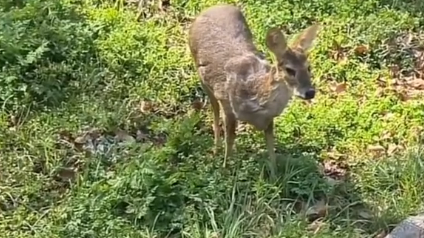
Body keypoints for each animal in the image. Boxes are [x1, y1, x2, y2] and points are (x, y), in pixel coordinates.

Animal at [187, 3, 320, 171]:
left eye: (309, 67)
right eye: (290, 70)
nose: (310, 92)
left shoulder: (269, 118)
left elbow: (271, 148)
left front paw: (274, 173)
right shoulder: (227, 106)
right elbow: (229, 140)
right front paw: (225, 168)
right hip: (202, 77)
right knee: (214, 111)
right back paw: (215, 149)